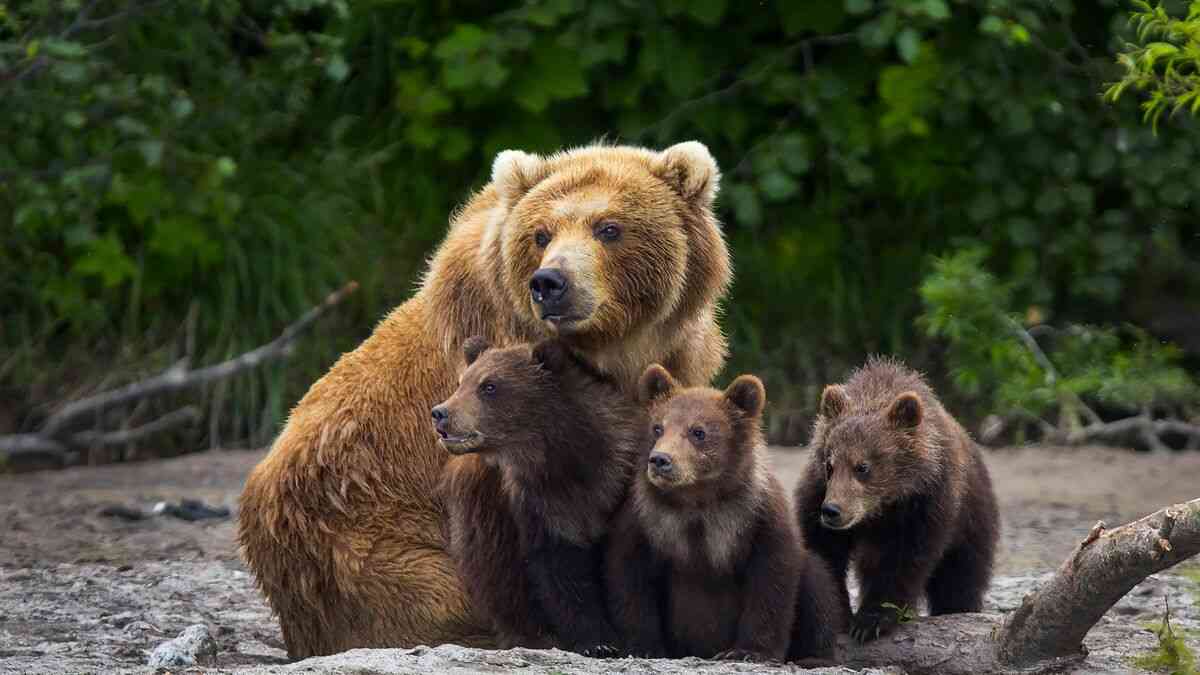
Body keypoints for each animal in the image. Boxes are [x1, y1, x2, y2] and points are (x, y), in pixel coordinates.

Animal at [435, 336, 643, 656]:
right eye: (461, 382)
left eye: (489, 385)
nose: (441, 413)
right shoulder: (540, 505)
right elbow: (560, 573)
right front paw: (597, 642)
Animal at [605, 365, 842, 663]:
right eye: (657, 427)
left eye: (698, 431)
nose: (660, 460)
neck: (697, 500)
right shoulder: (645, 520)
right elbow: (630, 578)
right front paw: (644, 646)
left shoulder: (758, 517)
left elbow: (772, 581)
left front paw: (749, 651)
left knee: (817, 580)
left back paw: (815, 656)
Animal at [794, 356, 1000, 643]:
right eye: (829, 464)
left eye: (862, 466)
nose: (832, 511)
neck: (882, 507)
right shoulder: (817, 494)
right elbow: (825, 552)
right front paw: (839, 613)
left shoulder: (926, 503)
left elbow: (905, 561)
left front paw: (871, 620)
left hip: (972, 519)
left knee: (961, 576)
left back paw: (957, 608)